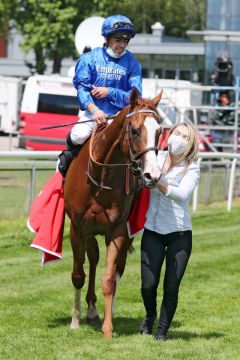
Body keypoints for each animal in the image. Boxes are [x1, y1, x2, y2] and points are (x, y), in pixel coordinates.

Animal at [63, 87, 163, 338]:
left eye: (159, 132)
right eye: (135, 131)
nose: (152, 175)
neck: (100, 178)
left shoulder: (117, 231)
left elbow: (109, 279)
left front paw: (108, 328)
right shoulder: (77, 228)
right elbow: (78, 275)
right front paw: (75, 321)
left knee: (116, 269)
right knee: (92, 258)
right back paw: (89, 311)